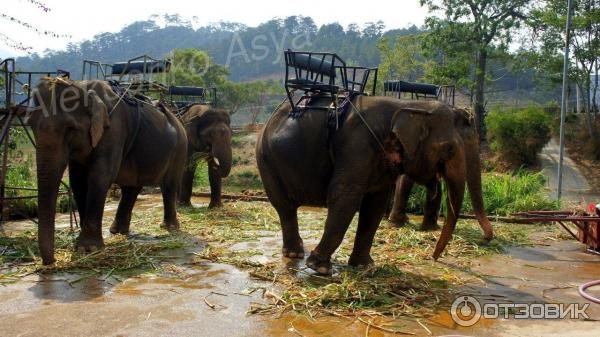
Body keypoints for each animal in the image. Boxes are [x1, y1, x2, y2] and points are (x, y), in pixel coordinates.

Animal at [28, 77, 186, 264]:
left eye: (70, 128)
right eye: (31, 125)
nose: (51, 261)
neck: (84, 87)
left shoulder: (114, 129)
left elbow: (100, 176)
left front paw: (88, 249)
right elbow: (78, 181)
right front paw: (81, 245)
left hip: (179, 149)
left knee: (169, 185)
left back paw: (169, 228)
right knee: (131, 187)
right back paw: (118, 231)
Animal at [255, 96, 472, 274]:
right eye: (449, 149)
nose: (433, 258)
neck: (406, 104)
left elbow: (375, 204)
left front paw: (365, 267)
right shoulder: (357, 145)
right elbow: (345, 196)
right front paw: (320, 268)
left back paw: (296, 252)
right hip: (266, 160)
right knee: (285, 206)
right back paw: (295, 255)